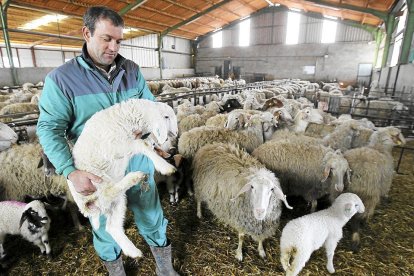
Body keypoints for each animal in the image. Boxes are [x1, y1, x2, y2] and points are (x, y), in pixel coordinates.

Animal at [68, 99, 178, 258]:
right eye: (167, 117)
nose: (176, 133)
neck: (125, 118)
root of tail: (87, 207)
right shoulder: (121, 145)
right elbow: (142, 145)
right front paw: (165, 166)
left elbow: (146, 145)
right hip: (97, 180)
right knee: (109, 190)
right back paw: (134, 177)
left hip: (117, 202)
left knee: (112, 227)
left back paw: (133, 252)